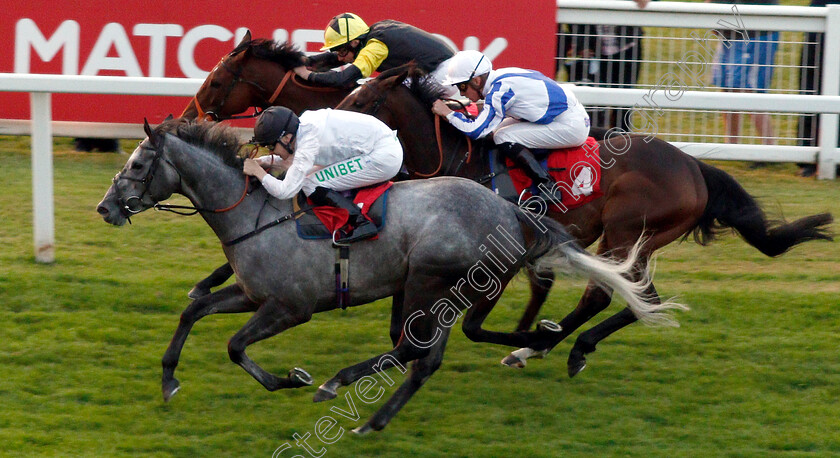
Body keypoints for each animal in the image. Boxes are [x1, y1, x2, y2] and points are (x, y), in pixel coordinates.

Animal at [95, 118, 684, 432]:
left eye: (138, 166)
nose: (105, 208)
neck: (254, 216)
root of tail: (510, 211)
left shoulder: (290, 307)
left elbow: (236, 347)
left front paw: (292, 378)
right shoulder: (250, 294)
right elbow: (194, 308)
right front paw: (169, 380)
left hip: (430, 279)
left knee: (417, 351)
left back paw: (347, 393)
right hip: (434, 287)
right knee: (422, 356)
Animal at [334, 65, 832, 380]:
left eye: (367, 99)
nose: (328, 123)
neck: (461, 162)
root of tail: (693, 167)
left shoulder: (498, 260)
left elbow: (474, 325)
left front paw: (532, 332)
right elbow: (404, 316)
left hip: (627, 232)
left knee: (606, 294)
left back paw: (551, 346)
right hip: (633, 241)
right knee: (636, 295)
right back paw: (550, 347)